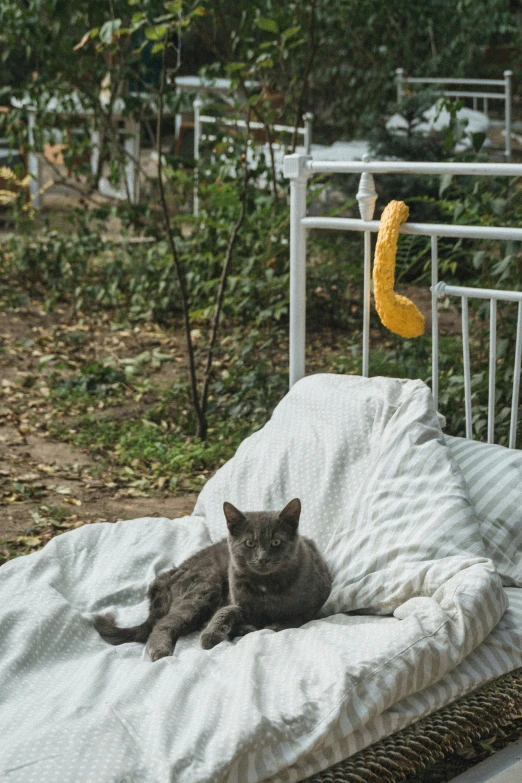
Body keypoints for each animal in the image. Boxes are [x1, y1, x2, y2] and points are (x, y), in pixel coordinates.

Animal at [93, 500, 330, 660]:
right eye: (250, 543)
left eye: (276, 542)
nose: (263, 558)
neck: (267, 586)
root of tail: (170, 573)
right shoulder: (237, 601)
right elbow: (226, 611)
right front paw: (212, 635)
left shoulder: (309, 608)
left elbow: (285, 622)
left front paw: (265, 626)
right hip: (206, 586)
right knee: (162, 624)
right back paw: (161, 650)